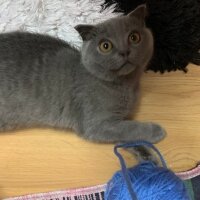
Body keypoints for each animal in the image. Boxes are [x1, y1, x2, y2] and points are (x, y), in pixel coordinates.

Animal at [0, 5, 166, 145]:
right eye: (105, 46)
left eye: (134, 37)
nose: (124, 51)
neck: (127, 86)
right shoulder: (97, 124)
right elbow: (129, 128)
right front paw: (155, 130)